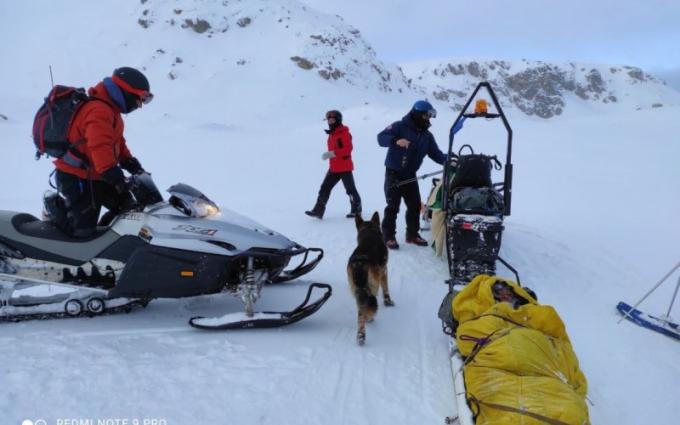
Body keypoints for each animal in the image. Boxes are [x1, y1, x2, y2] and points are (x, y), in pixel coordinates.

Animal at [348, 212, 396, 344]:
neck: (369, 232)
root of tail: (360, 263)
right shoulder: (384, 271)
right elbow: (386, 290)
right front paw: (388, 302)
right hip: (371, 288)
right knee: (369, 307)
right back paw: (369, 321)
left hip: (357, 291)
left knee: (361, 312)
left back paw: (361, 335)